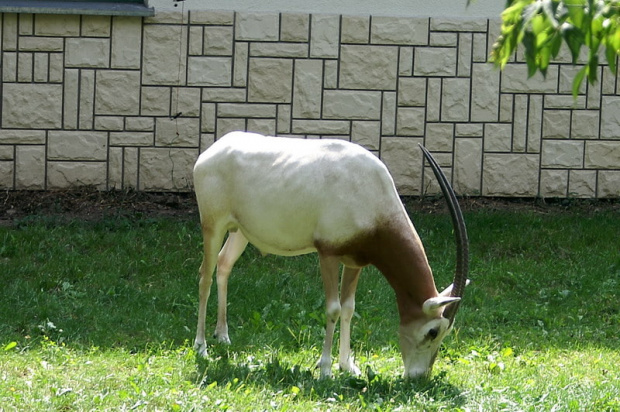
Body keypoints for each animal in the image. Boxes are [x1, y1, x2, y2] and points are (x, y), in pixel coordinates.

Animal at [191, 130, 468, 378]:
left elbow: (348, 308)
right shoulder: (328, 254)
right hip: (213, 226)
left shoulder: (355, 261)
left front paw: (347, 365)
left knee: (224, 265)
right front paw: (325, 369)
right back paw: (201, 346)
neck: (370, 191)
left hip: (241, 232)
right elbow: (333, 309)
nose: (419, 377)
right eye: (432, 331)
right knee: (205, 275)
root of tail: (212, 151)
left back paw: (223, 336)